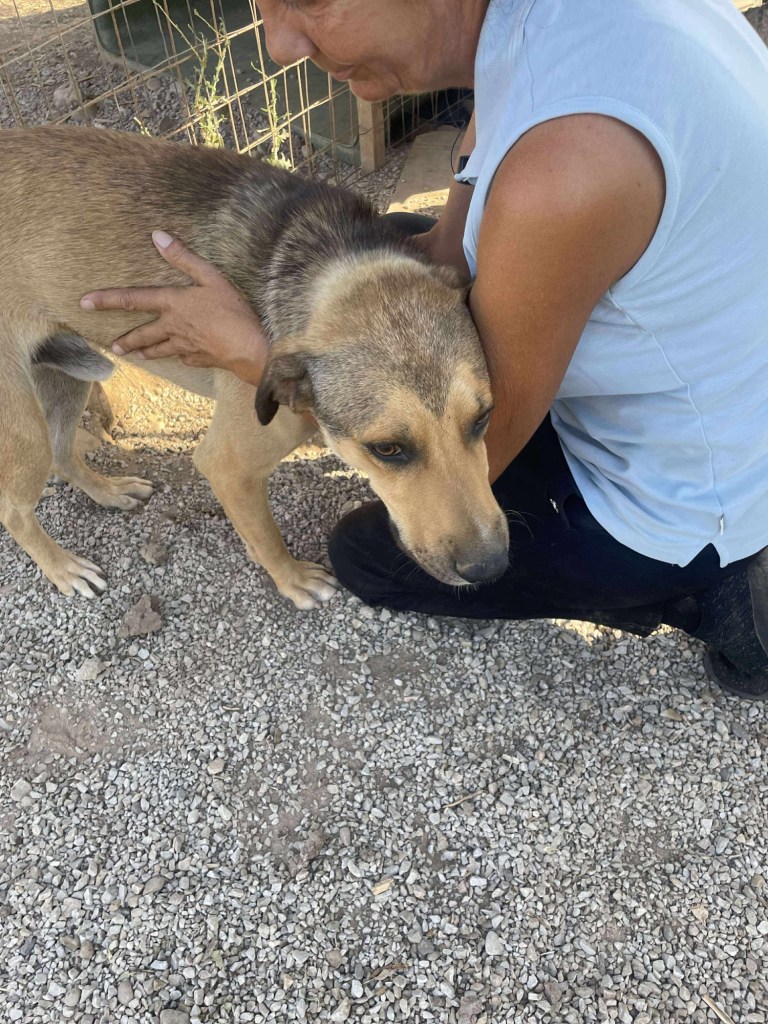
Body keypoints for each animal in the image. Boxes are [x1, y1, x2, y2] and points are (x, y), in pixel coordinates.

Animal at [0, 126, 509, 608]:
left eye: (483, 418)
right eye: (386, 449)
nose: (491, 568)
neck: (329, 267)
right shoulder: (228, 465)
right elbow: (266, 534)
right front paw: (293, 579)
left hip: (65, 376)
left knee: (63, 454)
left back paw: (107, 491)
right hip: (22, 427)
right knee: (15, 510)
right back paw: (64, 568)